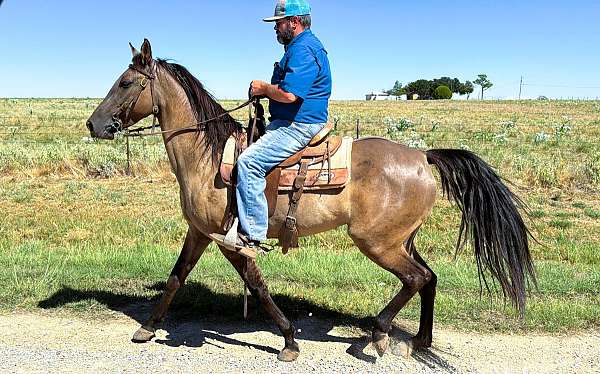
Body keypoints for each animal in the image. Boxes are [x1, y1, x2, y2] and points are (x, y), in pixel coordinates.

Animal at [83, 40, 536, 362]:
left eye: (125, 83)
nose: (94, 124)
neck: (207, 156)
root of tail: (423, 156)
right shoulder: (200, 232)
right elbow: (177, 277)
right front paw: (146, 327)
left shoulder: (231, 240)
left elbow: (257, 286)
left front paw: (288, 340)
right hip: (402, 239)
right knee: (430, 278)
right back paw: (421, 341)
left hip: (377, 242)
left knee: (416, 278)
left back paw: (379, 334)